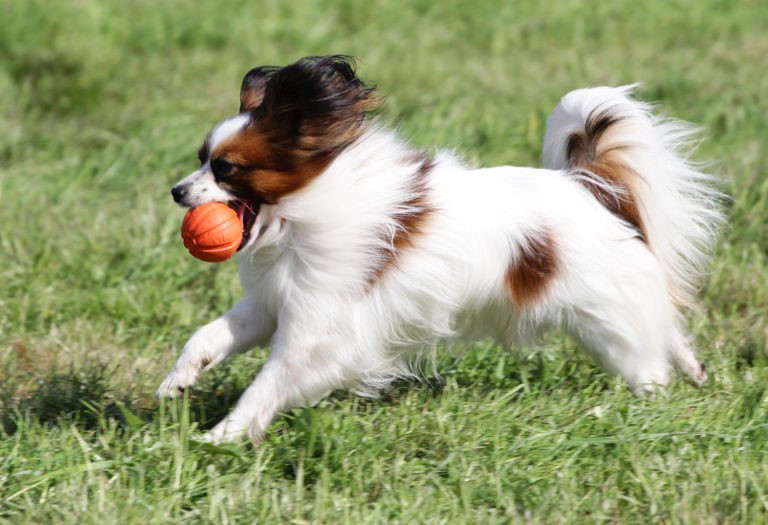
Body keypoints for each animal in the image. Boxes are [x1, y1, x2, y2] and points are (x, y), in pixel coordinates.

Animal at [158, 54, 728, 442]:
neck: (300, 213)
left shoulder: (318, 331)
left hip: (609, 326)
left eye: (226, 169)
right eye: (201, 159)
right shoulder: (275, 303)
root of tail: (592, 187)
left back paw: (651, 408)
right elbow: (208, 335)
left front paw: (223, 436)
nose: (177, 191)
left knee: (648, 361)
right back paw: (693, 372)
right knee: (664, 327)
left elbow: (266, 384)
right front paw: (177, 384)